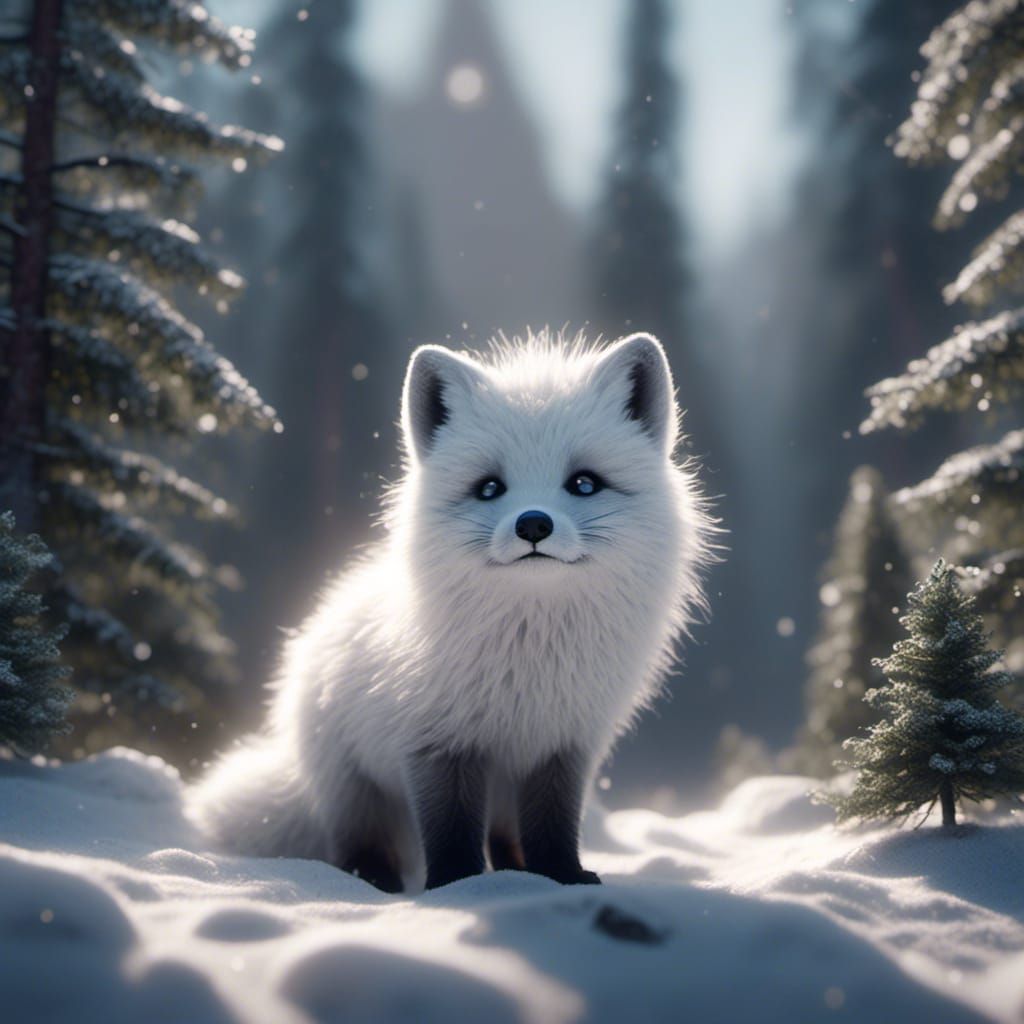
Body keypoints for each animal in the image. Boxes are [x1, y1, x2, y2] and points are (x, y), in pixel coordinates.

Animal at [189, 329, 712, 892]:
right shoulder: (439, 744)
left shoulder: (561, 747)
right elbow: (451, 829)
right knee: (359, 847)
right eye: (489, 488)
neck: (529, 662)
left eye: (584, 483)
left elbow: (551, 825)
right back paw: (376, 882)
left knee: (504, 838)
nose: (533, 524)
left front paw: (561, 878)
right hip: (357, 793)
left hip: (499, 788)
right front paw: (456, 885)